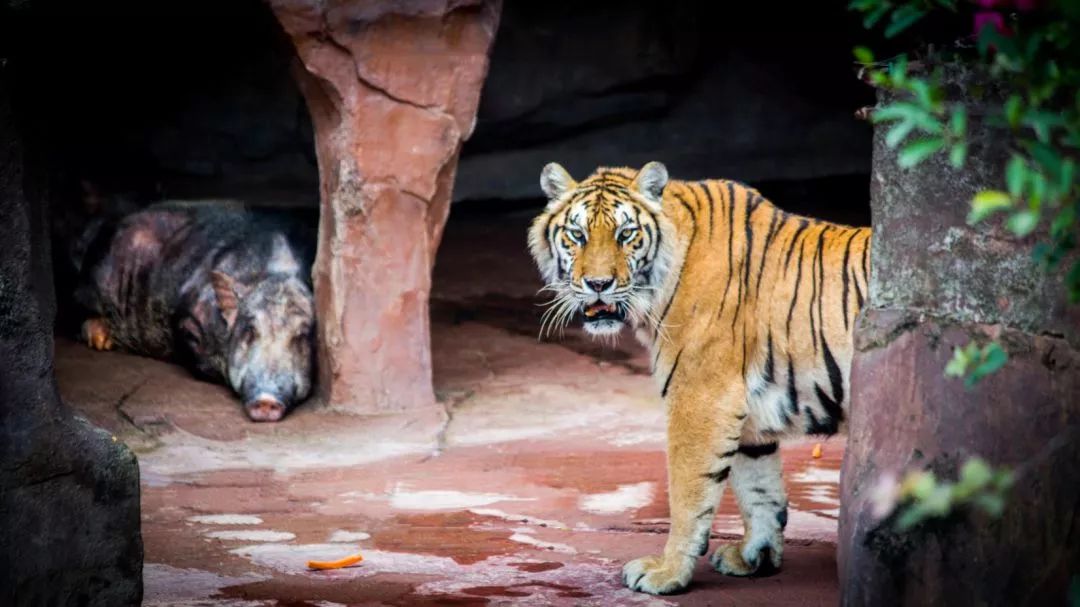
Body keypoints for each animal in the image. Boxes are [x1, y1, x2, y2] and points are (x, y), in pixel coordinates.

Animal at [70, 200, 315, 419]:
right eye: (250, 330)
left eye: (301, 336)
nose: (267, 399)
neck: (278, 273)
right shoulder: (187, 317)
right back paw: (101, 340)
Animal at [527, 159, 872, 591]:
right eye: (577, 235)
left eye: (626, 234)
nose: (598, 284)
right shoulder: (747, 409)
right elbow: (759, 488)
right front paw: (754, 557)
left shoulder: (701, 396)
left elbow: (687, 493)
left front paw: (667, 572)